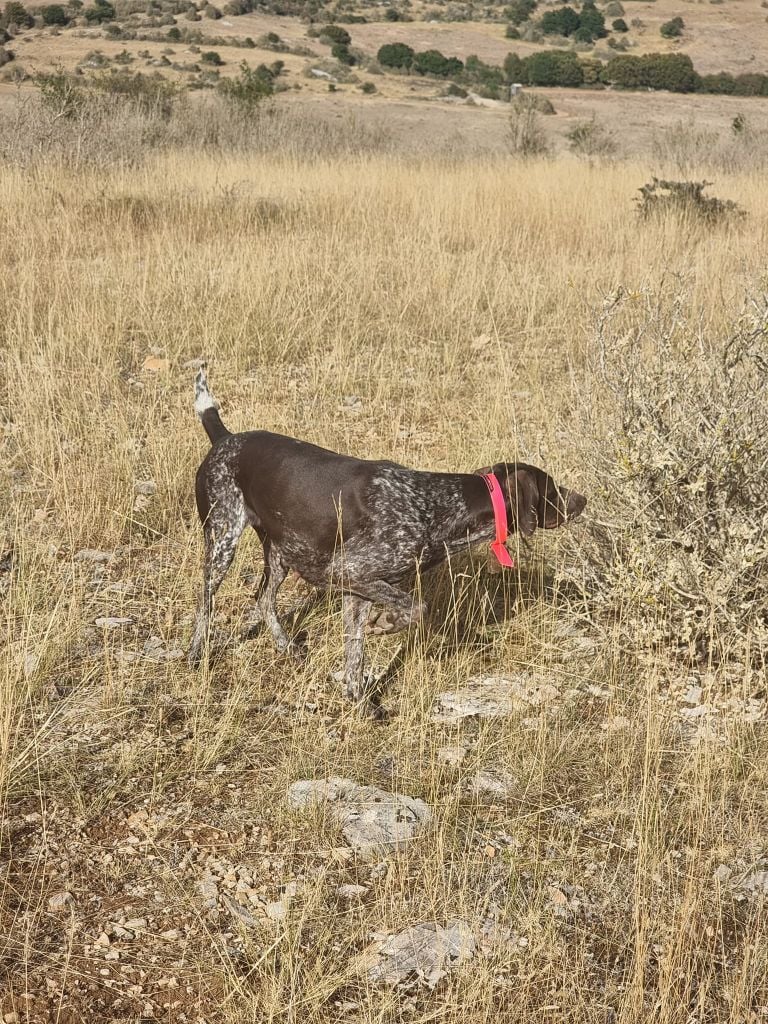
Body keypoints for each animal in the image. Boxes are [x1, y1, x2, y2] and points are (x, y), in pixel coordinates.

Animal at [189, 368, 585, 712]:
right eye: (552, 489)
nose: (582, 499)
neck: (436, 505)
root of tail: (225, 439)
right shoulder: (351, 572)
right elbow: (415, 608)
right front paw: (386, 626)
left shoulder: (357, 591)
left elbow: (355, 654)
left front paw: (359, 702)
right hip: (223, 539)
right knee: (206, 603)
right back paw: (195, 654)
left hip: (278, 554)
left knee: (264, 598)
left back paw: (285, 647)